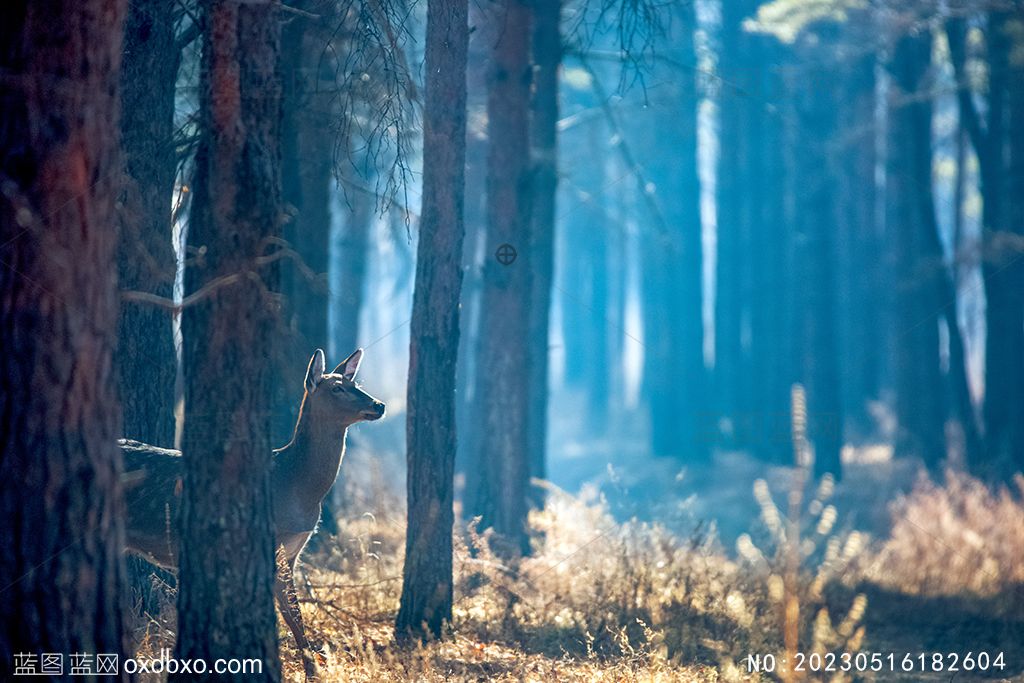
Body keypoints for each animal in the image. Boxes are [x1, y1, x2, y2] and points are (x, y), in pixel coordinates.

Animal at [119, 350, 385, 679]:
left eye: (355, 383)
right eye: (337, 388)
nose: (379, 405)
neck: (297, 486)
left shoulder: (293, 550)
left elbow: (293, 611)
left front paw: (312, 670)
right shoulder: (274, 540)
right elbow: (290, 613)